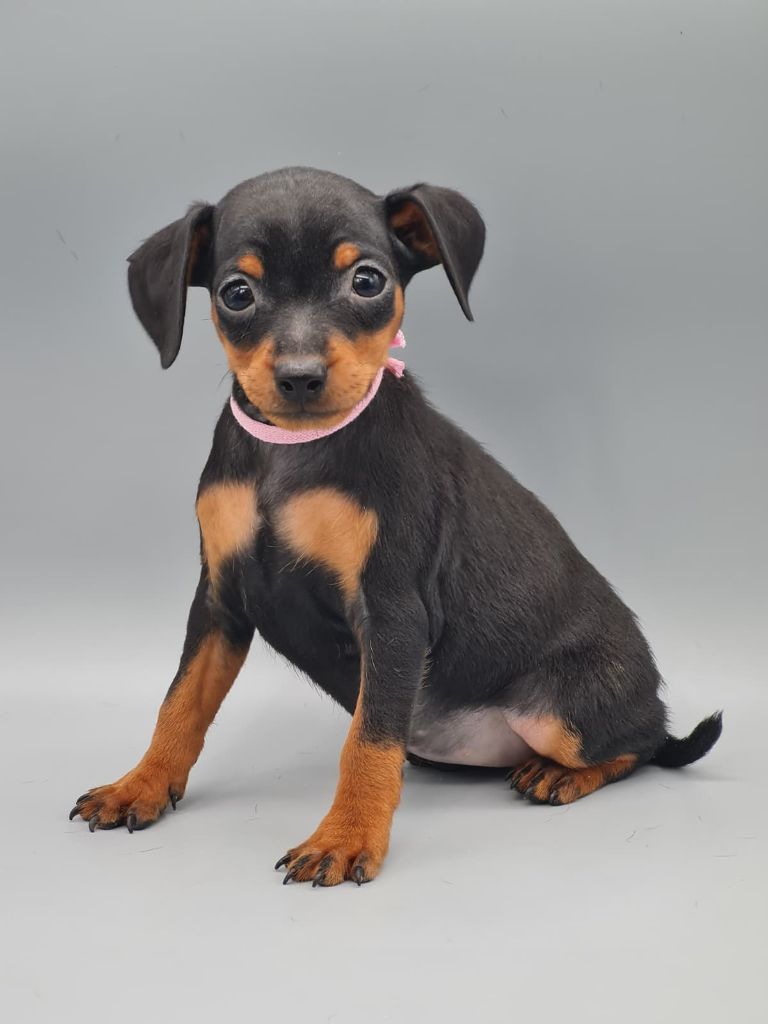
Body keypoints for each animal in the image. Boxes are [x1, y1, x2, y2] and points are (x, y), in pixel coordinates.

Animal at [69, 167, 722, 886]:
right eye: (237, 293)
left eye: (367, 282)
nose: (300, 378)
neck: (293, 453)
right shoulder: (219, 601)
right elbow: (180, 702)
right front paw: (142, 784)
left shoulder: (393, 614)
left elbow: (369, 739)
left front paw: (346, 837)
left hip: (559, 712)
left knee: (642, 742)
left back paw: (560, 774)